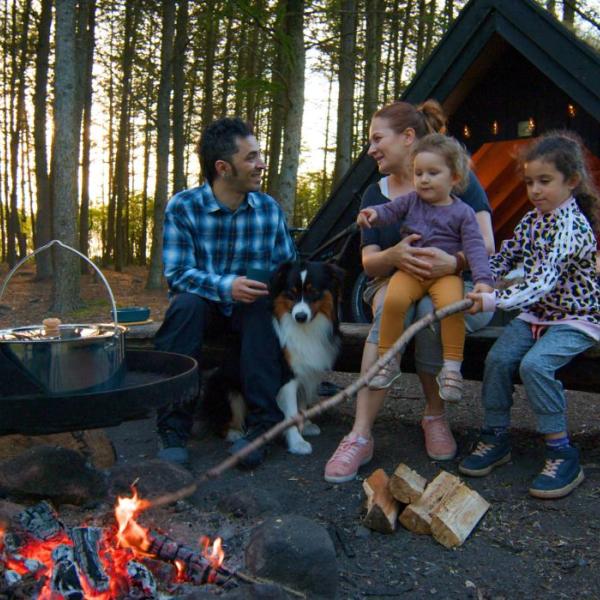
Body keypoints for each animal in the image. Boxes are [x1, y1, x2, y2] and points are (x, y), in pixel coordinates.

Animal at [202, 262, 342, 454]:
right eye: (291, 292)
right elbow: (290, 412)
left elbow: (302, 403)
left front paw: (306, 425)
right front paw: (297, 443)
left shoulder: (305, 371)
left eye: (313, 292)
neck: (305, 329)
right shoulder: (287, 376)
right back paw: (234, 433)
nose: (300, 317)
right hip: (224, 386)